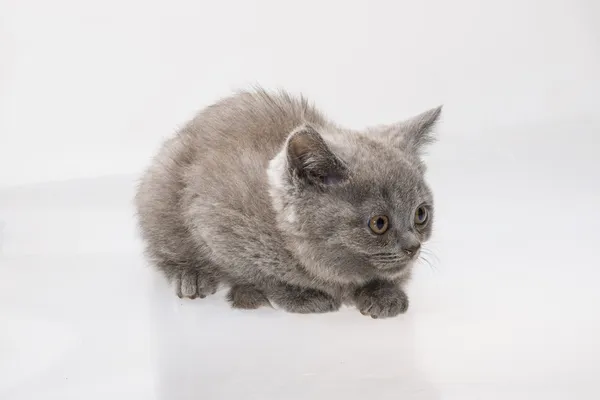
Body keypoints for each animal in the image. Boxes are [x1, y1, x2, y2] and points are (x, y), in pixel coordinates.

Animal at [137, 88, 446, 318]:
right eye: (378, 223)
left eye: (421, 214)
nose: (413, 246)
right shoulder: (213, 215)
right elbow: (256, 271)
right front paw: (300, 295)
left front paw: (384, 293)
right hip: (161, 186)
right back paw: (193, 275)